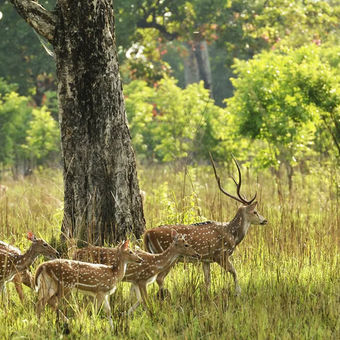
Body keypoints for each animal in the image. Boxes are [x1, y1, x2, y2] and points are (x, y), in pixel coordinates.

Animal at [71, 231, 199, 314]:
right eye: (186, 244)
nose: (197, 254)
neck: (155, 263)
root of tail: (75, 253)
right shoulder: (142, 279)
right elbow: (146, 300)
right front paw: (151, 315)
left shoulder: (135, 281)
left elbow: (139, 300)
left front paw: (126, 314)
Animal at [143, 155, 268, 296]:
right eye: (255, 211)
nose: (265, 220)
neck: (232, 235)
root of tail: (147, 233)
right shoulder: (220, 254)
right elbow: (234, 272)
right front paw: (238, 293)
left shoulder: (206, 260)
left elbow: (207, 281)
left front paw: (207, 296)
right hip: (168, 255)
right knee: (159, 278)